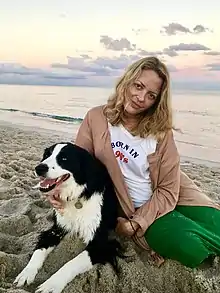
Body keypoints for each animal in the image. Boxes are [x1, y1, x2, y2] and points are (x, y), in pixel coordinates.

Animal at [14, 142, 124, 292]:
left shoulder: (101, 244)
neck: (76, 196)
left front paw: (52, 284)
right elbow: (39, 249)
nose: (39, 168)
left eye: (64, 159)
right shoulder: (57, 228)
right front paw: (26, 273)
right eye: (47, 155)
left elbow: (72, 262)